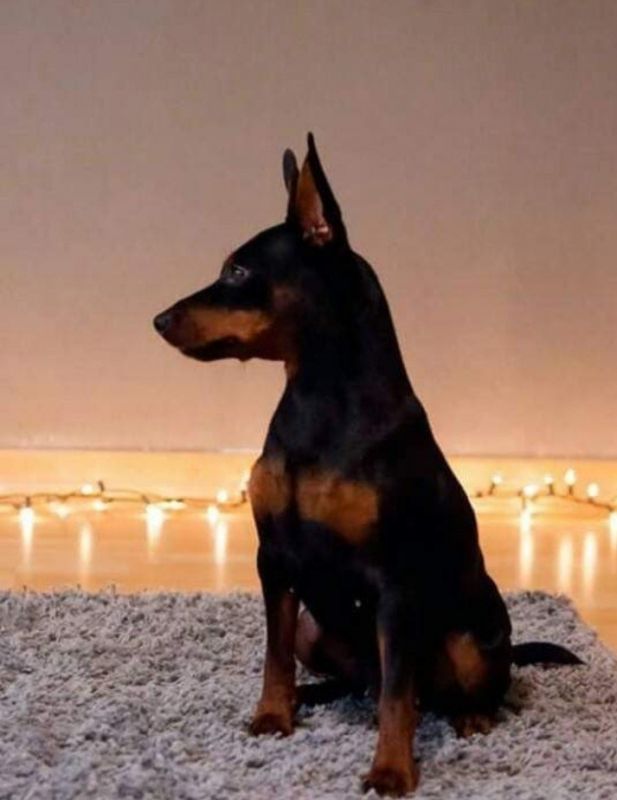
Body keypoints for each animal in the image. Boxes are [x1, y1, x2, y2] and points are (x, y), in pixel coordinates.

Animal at [154, 134, 581, 796]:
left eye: (238, 271)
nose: (159, 320)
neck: (317, 398)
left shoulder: (394, 584)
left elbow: (397, 697)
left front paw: (391, 769)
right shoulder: (275, 559)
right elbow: (273, 653)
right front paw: (273, 715)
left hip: (470, 636)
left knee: (448, 686)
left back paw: (474, 716)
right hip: (317, 625)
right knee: (356, 680)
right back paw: (311, 695)